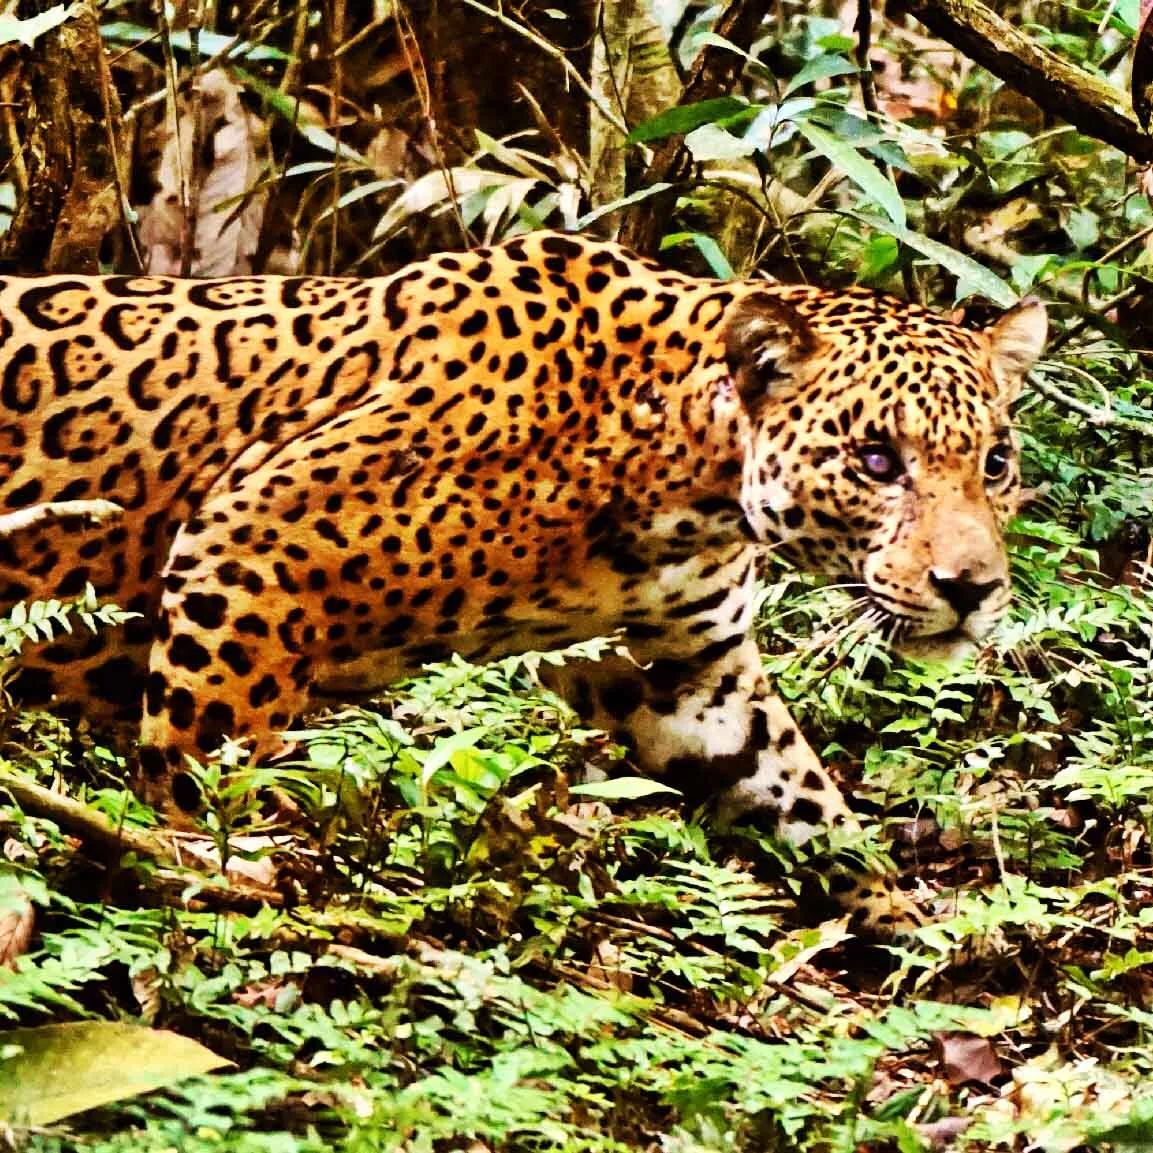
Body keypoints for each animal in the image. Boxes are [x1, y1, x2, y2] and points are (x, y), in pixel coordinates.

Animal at [0, 230, 1046, 933]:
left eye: (994, 461)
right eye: (874, 460)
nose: (971, 587)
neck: (684, 470)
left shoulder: (694, 673)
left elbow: (800, 792)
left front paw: (907, 928)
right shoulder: (250, 544)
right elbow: (210, 765)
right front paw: (219, 879)